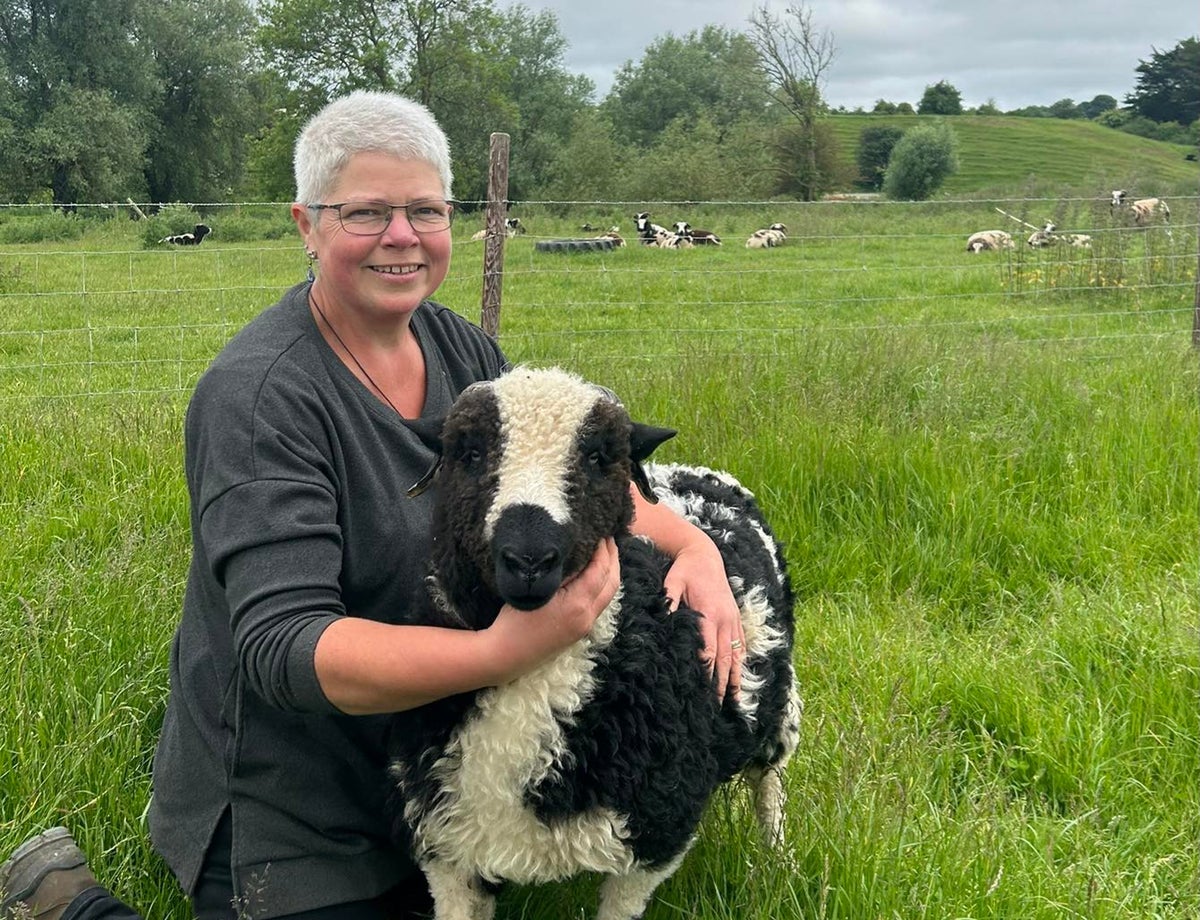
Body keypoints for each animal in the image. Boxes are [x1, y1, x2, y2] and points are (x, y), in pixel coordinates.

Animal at [389, 365, 801, 920]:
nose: (529, 560)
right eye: (468, 453)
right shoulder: (447, 845)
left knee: (768, 783)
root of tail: (699, 473)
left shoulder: (653, 836)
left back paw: (778, 859)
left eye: (599, 458)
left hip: (778, 704)